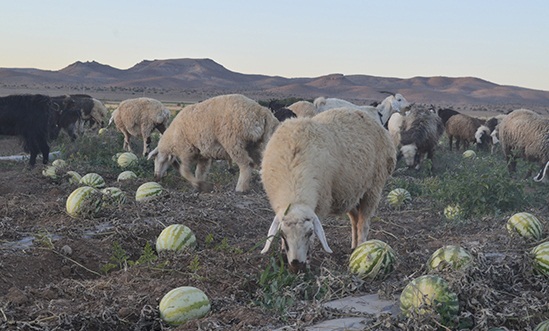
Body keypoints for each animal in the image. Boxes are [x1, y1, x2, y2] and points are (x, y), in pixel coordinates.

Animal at [148, 94, 278, 192]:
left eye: (155, 158)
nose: (156, 177)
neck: (172, 140)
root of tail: (263, 111)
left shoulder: (186, 151)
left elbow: (184, 171)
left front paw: (200, 185)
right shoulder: (203, 156)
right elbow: (200, 172)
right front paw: (199, 186)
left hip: (234, 141)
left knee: (247, 164)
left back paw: (240, 188)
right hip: (254, 144)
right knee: (262, 163)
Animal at [260, 107, 396, 274]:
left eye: (310, 233)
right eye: (283, 234)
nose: (297, 266)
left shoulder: (320, 203)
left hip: (373, 188)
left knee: (363, 223)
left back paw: (361, 246)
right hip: (350, 192)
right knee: (355, 219)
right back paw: (353, 246)